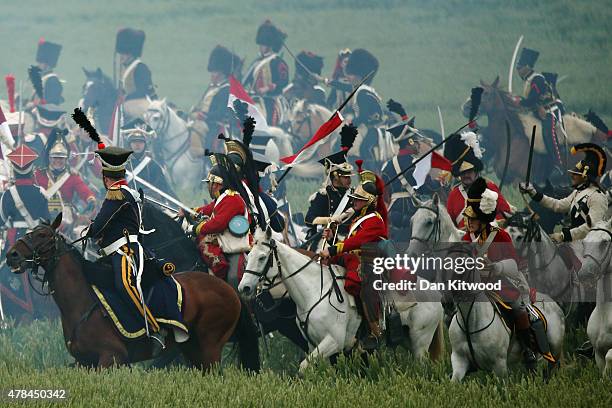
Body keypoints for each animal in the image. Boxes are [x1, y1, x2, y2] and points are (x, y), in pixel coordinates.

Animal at [7, 215, 260, 372]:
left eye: (42, 235)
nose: (12, 255)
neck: (81, 303)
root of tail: (230, 290)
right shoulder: (84, 362)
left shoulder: (111, 358)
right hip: (193, 349)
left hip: (210, 348)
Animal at [239, 226, 444, 372]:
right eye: (248, 256)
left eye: (262, 257)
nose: (244, 288)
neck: (314, 290)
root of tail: (435, 292)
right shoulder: (314, 344)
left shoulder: (334, 342)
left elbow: (304, 367)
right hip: (407, 339)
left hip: (420, 341)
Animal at [406, 196, 564, 380]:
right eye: (412, 221)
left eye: (429, 221)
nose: (410, 254)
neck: (470, 319)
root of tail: (552, 303)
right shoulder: (459, 362)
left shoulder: (500, 368)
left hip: (554, 352)